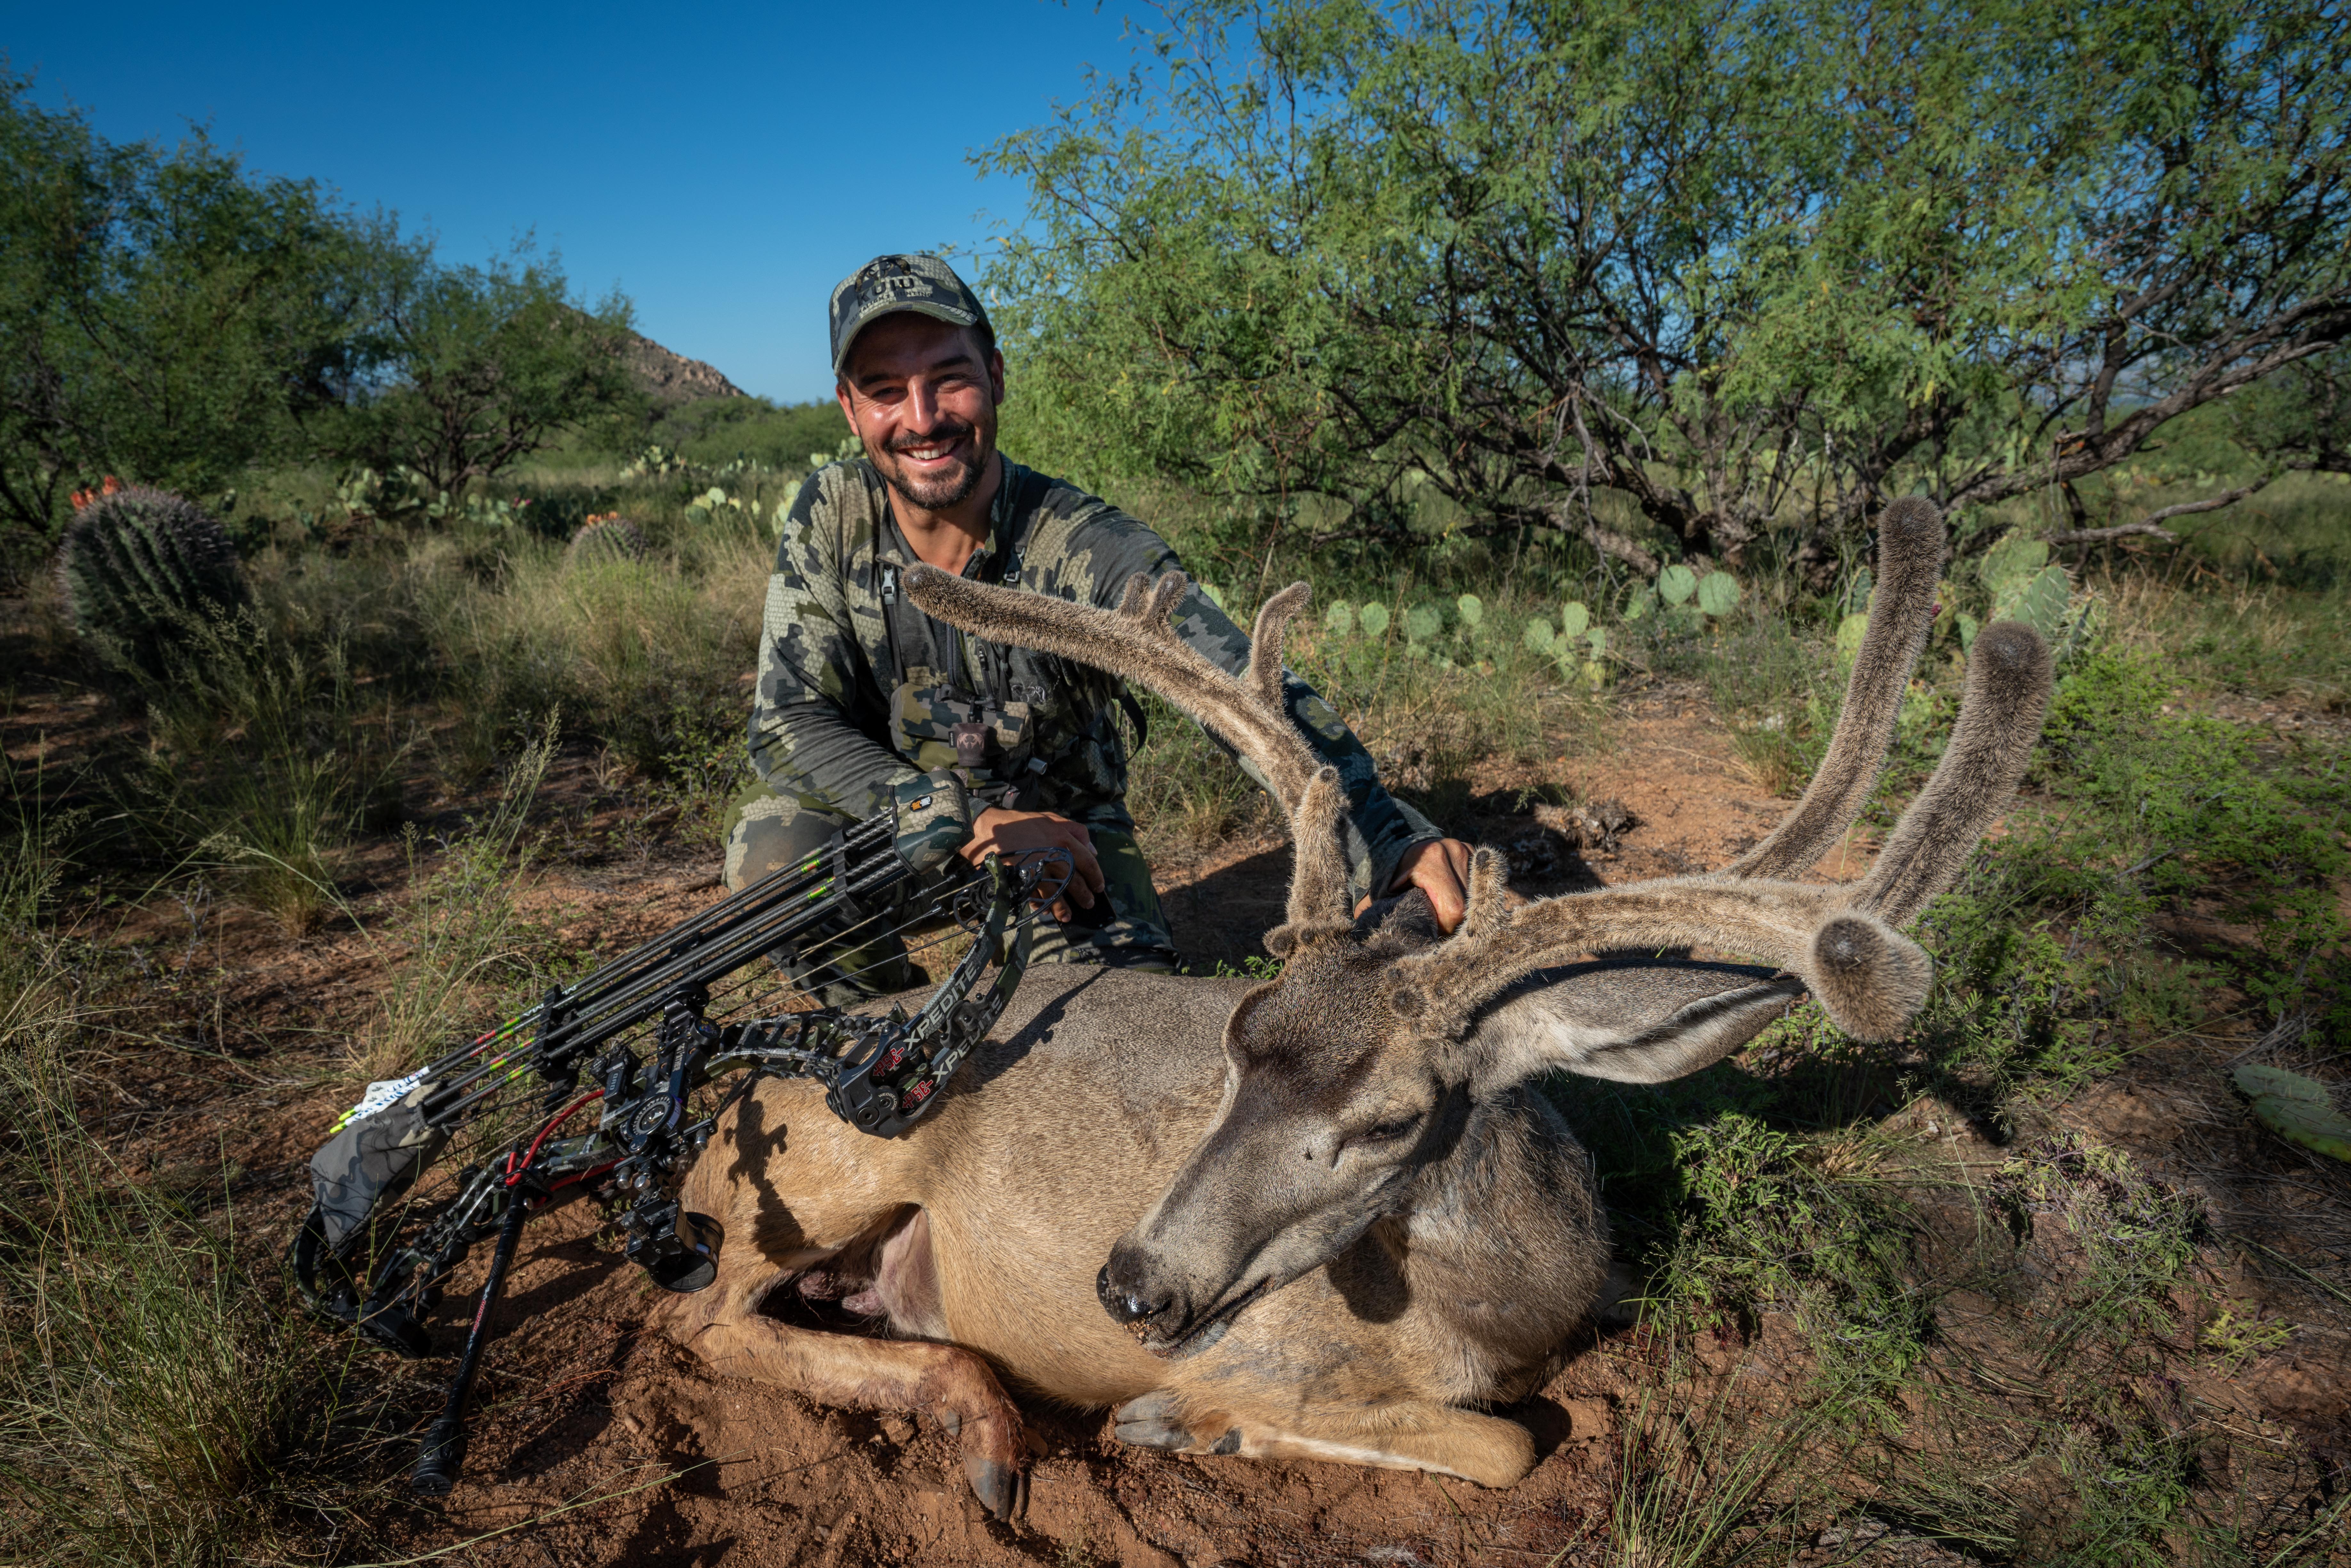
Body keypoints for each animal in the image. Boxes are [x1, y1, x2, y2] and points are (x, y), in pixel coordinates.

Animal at [656, 498, 2053, 1519]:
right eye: (1233, 1041)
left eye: (1388, 1121)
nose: (1130, 1287)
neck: (1497, 1310)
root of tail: (724, 1105)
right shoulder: (1263, 1350)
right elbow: (1507, 1447)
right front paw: (1183, 1420)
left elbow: (1513, 1433)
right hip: (828, 1167)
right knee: (703, 1319)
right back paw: (992, 1424)